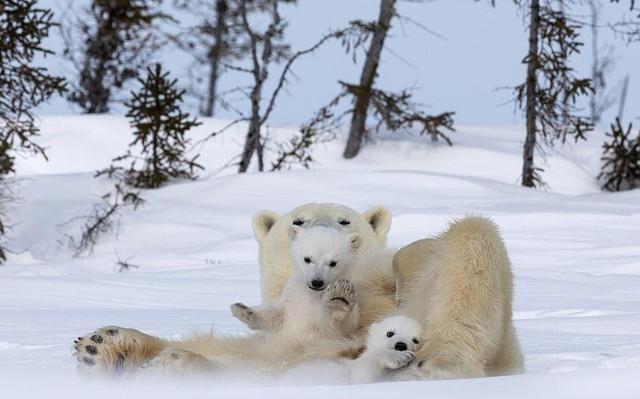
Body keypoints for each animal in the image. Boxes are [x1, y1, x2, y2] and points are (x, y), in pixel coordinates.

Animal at [72, 205, 524, 380]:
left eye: (344, 221)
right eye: (298, 220)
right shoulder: (281, 327)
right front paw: (100, 345)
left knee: (474, 236)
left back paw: (436, 364)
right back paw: (110, 349)